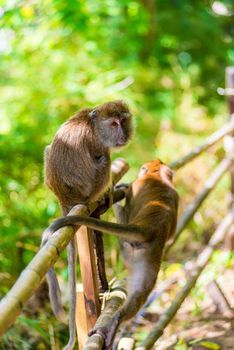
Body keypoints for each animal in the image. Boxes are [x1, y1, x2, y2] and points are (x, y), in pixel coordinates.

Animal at [42, 99, 133, 350]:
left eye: (123, 121)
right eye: (113, 124)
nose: (123, 134)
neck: (93, 124)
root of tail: (65, 198)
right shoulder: (99, 144)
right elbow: (102, 156)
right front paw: (110, 190)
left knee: (47, 149)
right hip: (89, 187)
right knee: (104, 161)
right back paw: (103, 194)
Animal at [44, 160, 179, 348]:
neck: (158, 176)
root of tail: (150, 228)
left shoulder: (135, 188)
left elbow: (126, 207)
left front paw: (118, 189)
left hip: (126, 245)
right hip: (147, 257)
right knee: (141, 293)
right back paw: (116, 322)